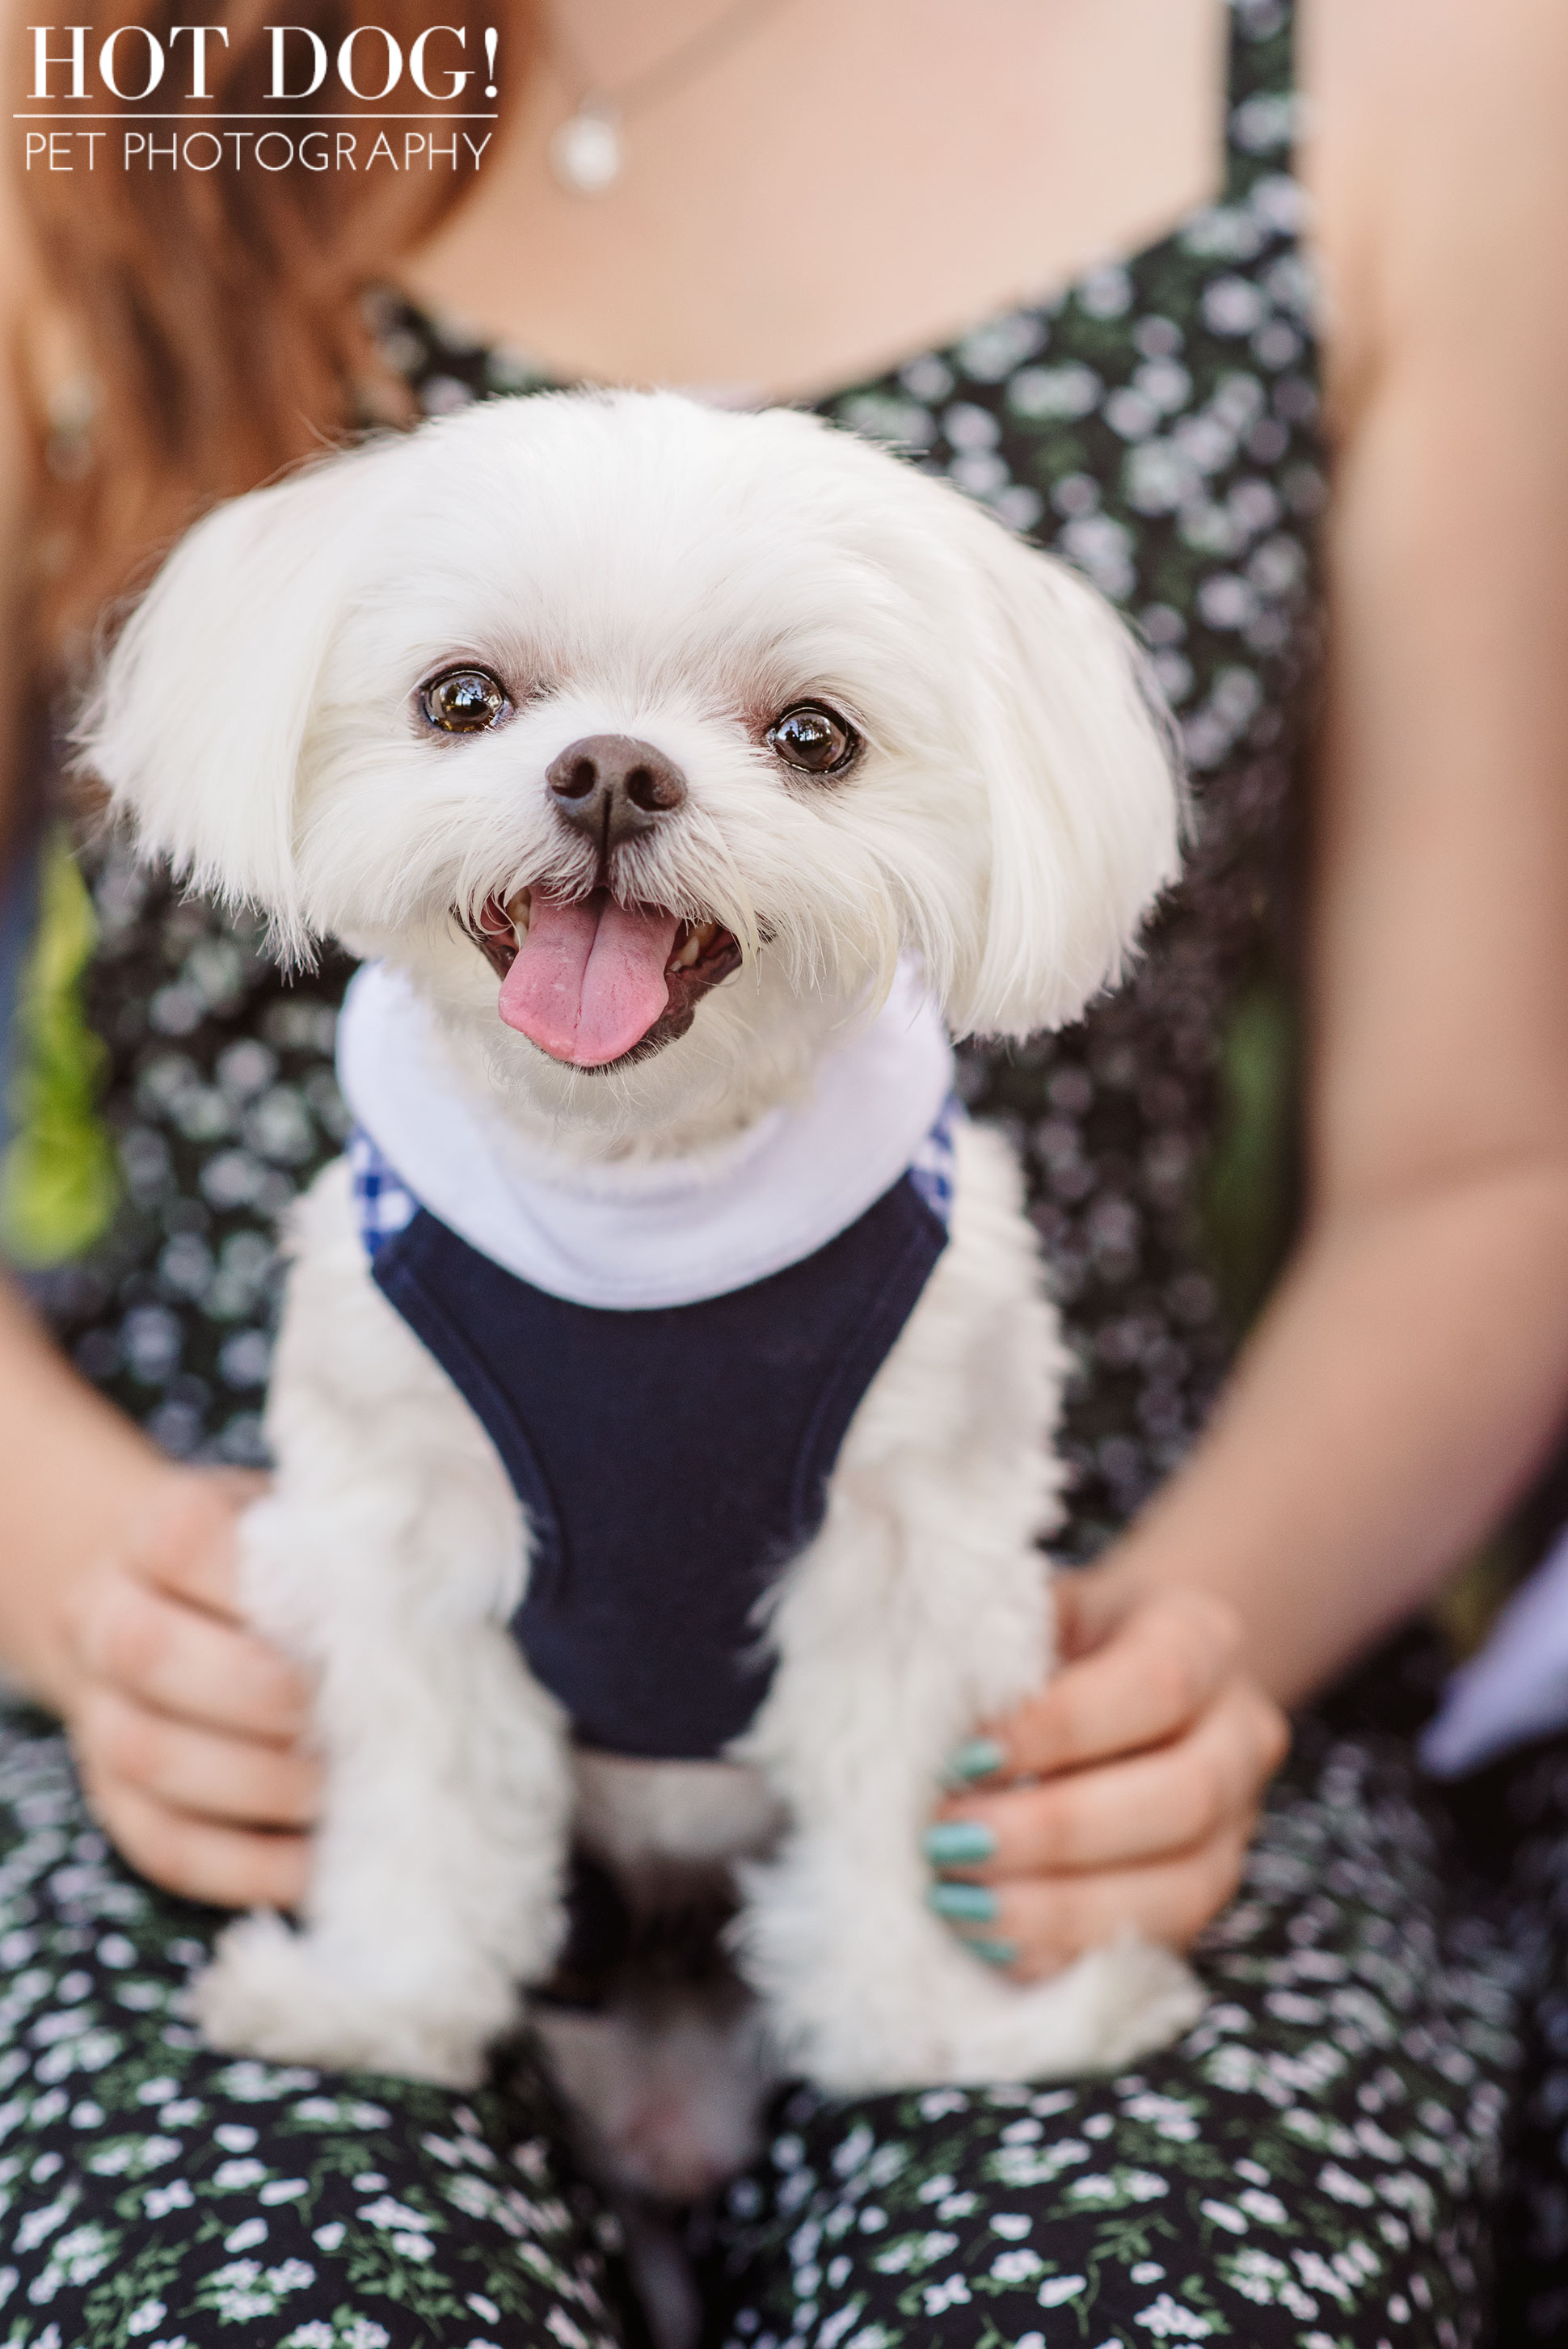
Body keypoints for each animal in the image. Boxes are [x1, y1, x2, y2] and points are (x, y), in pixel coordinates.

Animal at [82, 390, 1201, 2199]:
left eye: (814, 736)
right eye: (464, 698)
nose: (611, 769)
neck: (638, 1191)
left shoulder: (907, 1558)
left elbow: (894, 1804)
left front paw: (935, 2033)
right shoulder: (404, 1546)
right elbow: (428, 1798)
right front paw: (380, 2005)